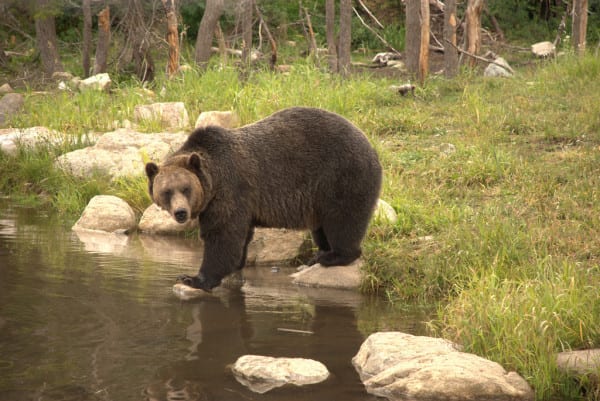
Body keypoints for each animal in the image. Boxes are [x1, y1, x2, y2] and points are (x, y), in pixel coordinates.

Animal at [145, 106, 382, 290]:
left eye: (186, 189)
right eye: (167, 191)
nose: (181, 212)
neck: (213, 182)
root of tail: (370, 146)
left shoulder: (231, 191)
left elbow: (223, 235)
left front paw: (193, 278)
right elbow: (240, 237)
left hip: (341, 177)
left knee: (343, 220)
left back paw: (333, 255)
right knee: (322, 227)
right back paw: (319, 254)